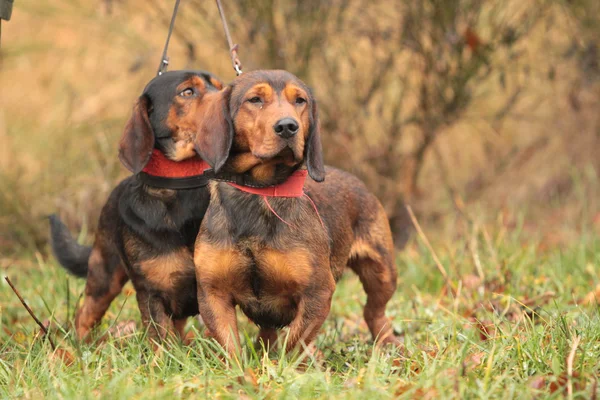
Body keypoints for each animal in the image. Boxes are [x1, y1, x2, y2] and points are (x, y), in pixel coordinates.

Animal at [48, 69, 227, 344]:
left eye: (219, 86)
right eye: (187, 91)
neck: (182, 185)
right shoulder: (151, 293)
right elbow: (161, 342)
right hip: (104, 276)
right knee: (84, 315)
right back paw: (82, 348)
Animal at [191, 70, 398, 354]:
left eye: (300, 100)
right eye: (255, 99)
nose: (288, 126)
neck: (260, 192)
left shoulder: (317, 292)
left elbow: (294, 346)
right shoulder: (213, 293)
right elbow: (231, 350)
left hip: (382, 272)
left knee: (373, 312)